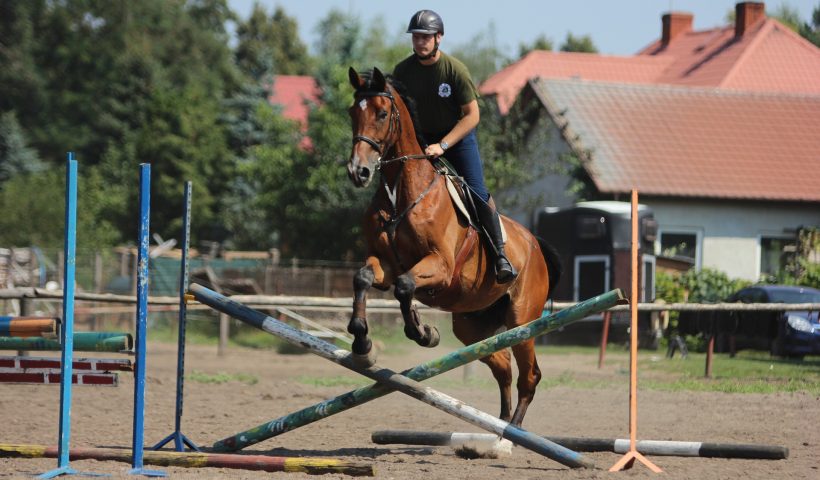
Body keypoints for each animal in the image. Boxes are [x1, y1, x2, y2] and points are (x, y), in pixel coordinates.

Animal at [342, 64, 560, 428]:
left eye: (382, 113)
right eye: (351, 113)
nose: (358, 171)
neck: (400, 192)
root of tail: (536, 245)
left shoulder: (439, 267)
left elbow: (405, 287)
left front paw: (423, 332)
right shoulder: (386, 264)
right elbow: (363, 278)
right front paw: (362, 342)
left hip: (522, 320)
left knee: (529, 376)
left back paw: (511, 433)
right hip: (471, 324)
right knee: (502, 364)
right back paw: (498, 427)